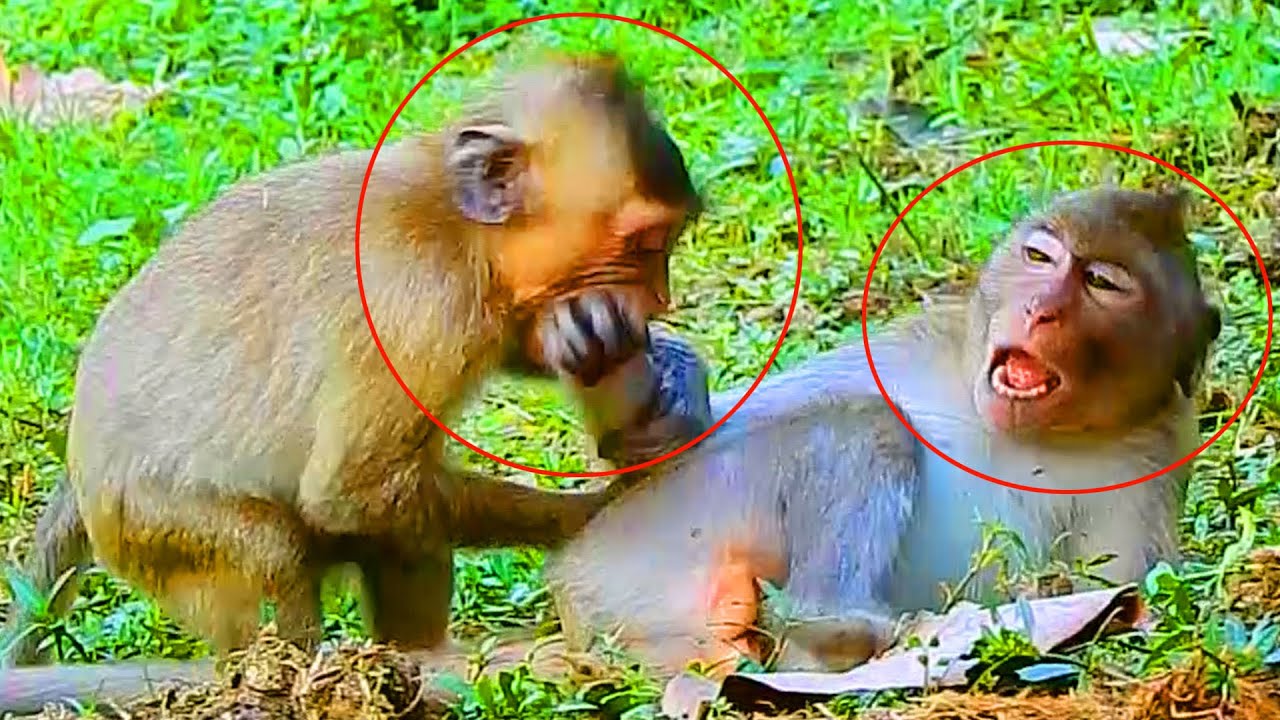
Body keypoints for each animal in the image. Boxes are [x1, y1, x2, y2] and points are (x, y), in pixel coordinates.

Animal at [1, 54, 703, 675]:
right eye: (644, 244)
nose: (659, 299)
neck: (458, 231)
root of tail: (78, 457)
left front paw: (659, 365)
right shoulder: (422, 307)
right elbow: (347, 490)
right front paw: (591, 510)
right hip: (153, 528)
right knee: (276, 548)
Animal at [542, 186, 1223, 679]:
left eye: (1102, 284)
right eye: (1041, 259)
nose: (1040, 310)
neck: (1030, 433)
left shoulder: (1157, 450)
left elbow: (1128, 595)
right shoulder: (923, 339)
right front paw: (665, 388)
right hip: (662, 531)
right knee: (869, 423)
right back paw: (830, 621)